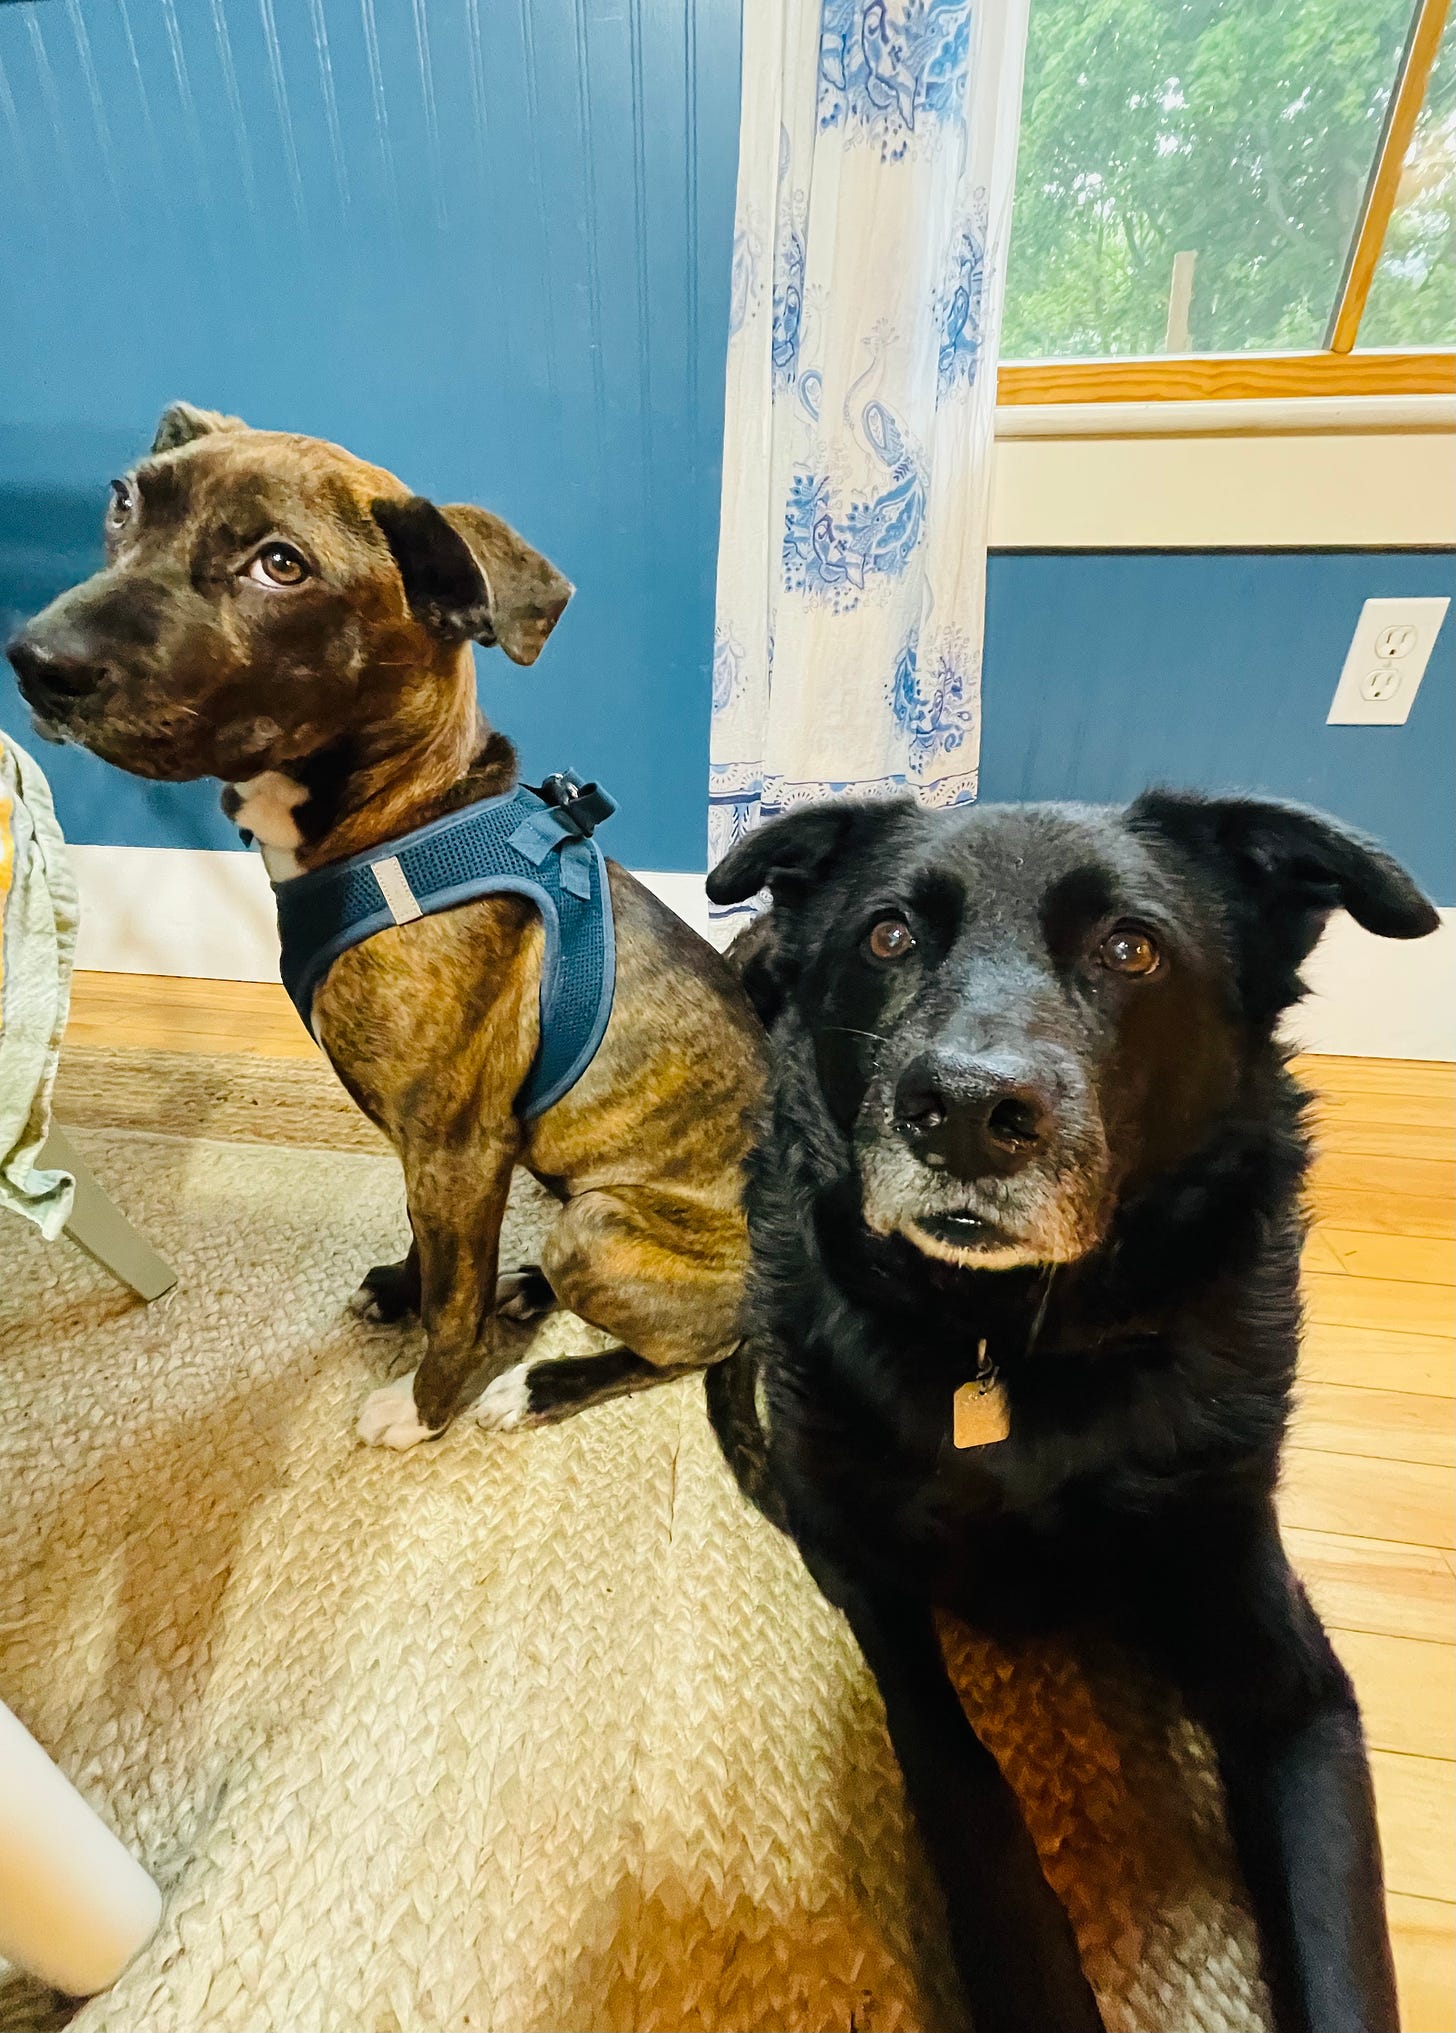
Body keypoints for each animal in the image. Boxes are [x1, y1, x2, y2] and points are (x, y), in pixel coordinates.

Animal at [8, 400, 760, 1447]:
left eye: (282, 566)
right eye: (125, 504)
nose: (35, 660)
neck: (402, 821)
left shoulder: (458, 1148)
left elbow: (455, 1300)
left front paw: (425, 1402)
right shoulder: (432, 1154)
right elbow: (431, 1250)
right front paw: (407, 1292)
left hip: (601, 1226)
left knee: (686, 1348)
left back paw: (538, 1379)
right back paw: (524, 1287)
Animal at [703, 792, 1431, 2033]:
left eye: (1130, 947)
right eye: (888, 935)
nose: (960, 1112)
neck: (1012, 1340)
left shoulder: (1288, 1671)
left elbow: (1343, 1952)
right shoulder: (863, 1569)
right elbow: (965, 1783)